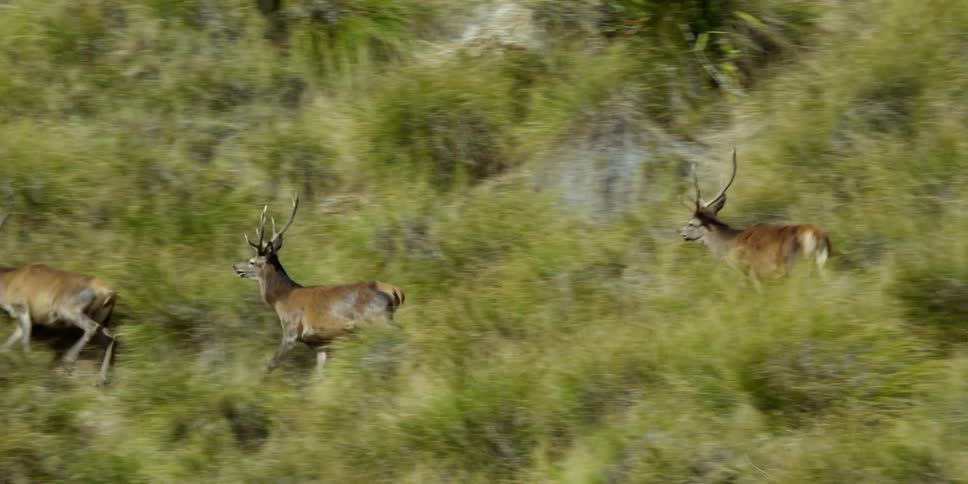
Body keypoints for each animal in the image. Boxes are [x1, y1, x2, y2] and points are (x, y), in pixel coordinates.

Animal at [0, 210, 118, 386]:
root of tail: (106, 289)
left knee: (91, 327)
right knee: (109, 339)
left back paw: (68, 361)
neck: (12, 277)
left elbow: (25, 341)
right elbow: (9, 344)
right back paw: (101, 380)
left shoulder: (23, 311)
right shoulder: (24, 318)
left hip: (69, 312)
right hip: (100, 319)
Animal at [233, 194, 405, 375]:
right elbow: (319, 373)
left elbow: (270, 366)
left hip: (378, 318)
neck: (281, 299)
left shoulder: (291, 332)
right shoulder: (319, 343)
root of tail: (395, 291)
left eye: (252, 262)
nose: (235, 266)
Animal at [680, 149, 831, 283]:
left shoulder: (749, 270)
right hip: (821, 265)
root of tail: (817, 235)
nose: (682, 234)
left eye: (691, 223)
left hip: (792, 265)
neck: (728, 244)